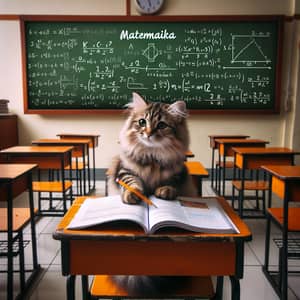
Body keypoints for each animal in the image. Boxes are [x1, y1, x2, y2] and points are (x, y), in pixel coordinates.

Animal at [107, 92, 197, 296]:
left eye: (161, 125)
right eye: (142, 122)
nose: (148, 133)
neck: (152, 155)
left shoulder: (178, 172)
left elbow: (169, 183)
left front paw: (164, 191)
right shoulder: (124, 170)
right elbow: (132, 182)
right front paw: (133, 194)